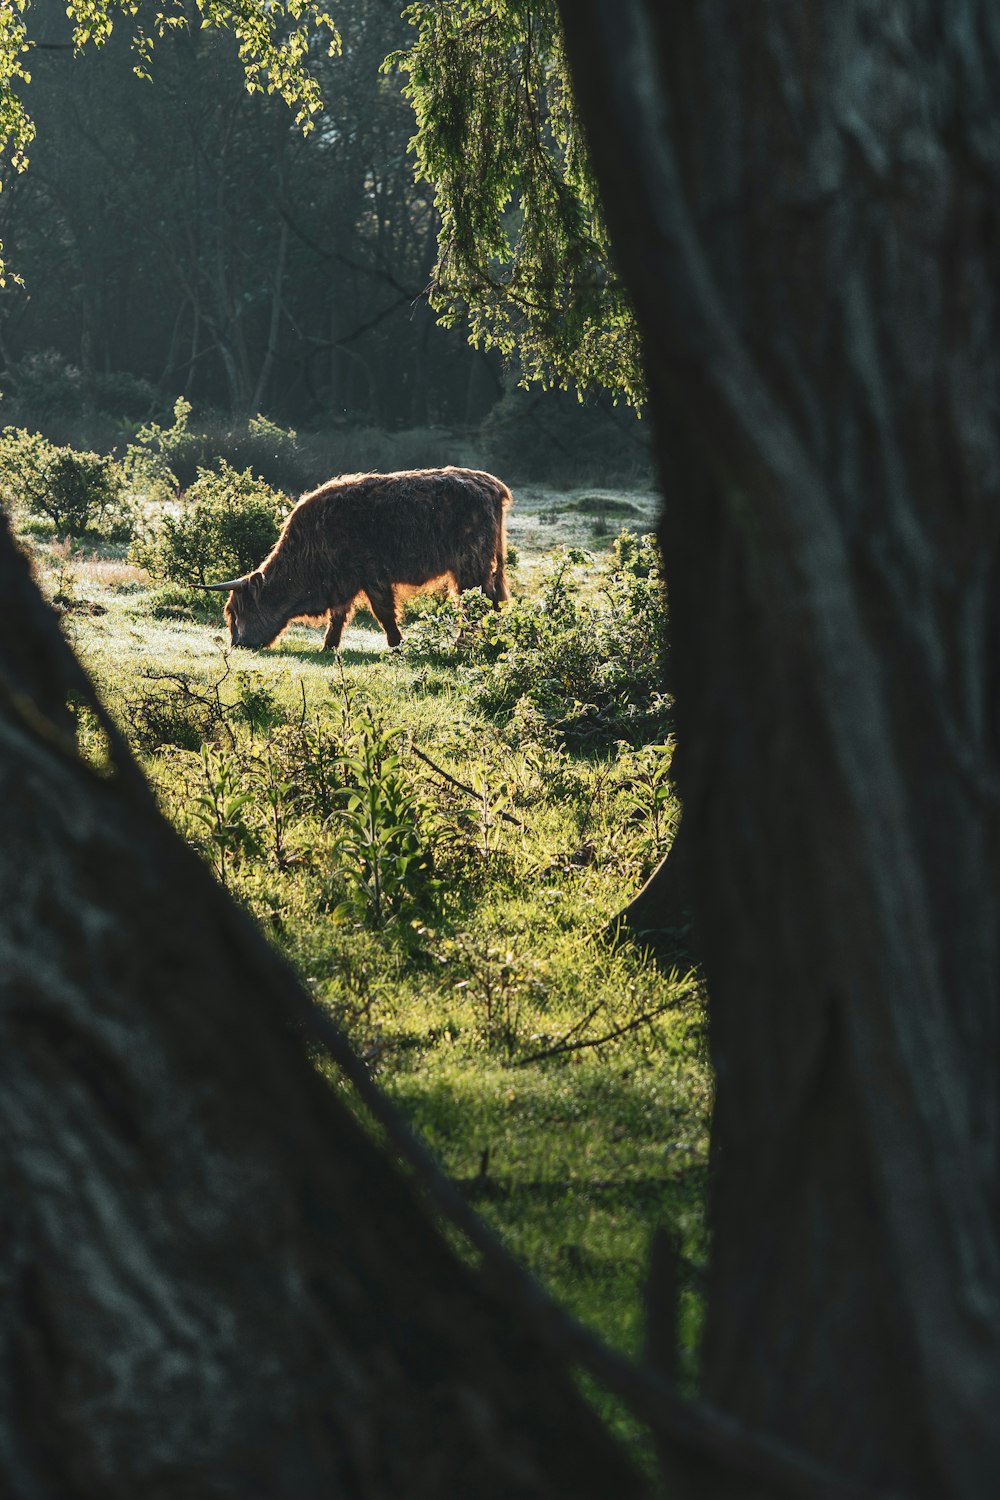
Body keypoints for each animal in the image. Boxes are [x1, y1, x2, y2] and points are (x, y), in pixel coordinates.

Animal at [203, 465, 515, 648]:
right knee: (494, 601)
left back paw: (464, 643)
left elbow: (383, 611)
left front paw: (395, 644)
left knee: (477, 603)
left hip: (470, 564)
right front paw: (328, 646)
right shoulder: (343, 582)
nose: (236, 644)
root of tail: (492, 484)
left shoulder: (371, 573)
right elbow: (338, 615)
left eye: (237, 612)